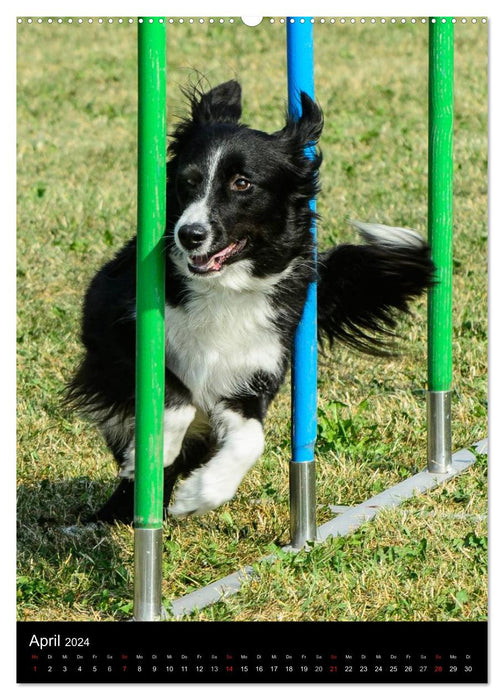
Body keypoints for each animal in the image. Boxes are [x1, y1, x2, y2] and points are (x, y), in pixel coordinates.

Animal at [66, 79, 434, 524]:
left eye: (242, 183)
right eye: (187, 181)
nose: (189, 234)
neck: (224, 287)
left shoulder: (253, 372)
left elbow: (251, 439)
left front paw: (200, 494)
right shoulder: (108, 328)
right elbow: (176, 396)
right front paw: (152, 452)